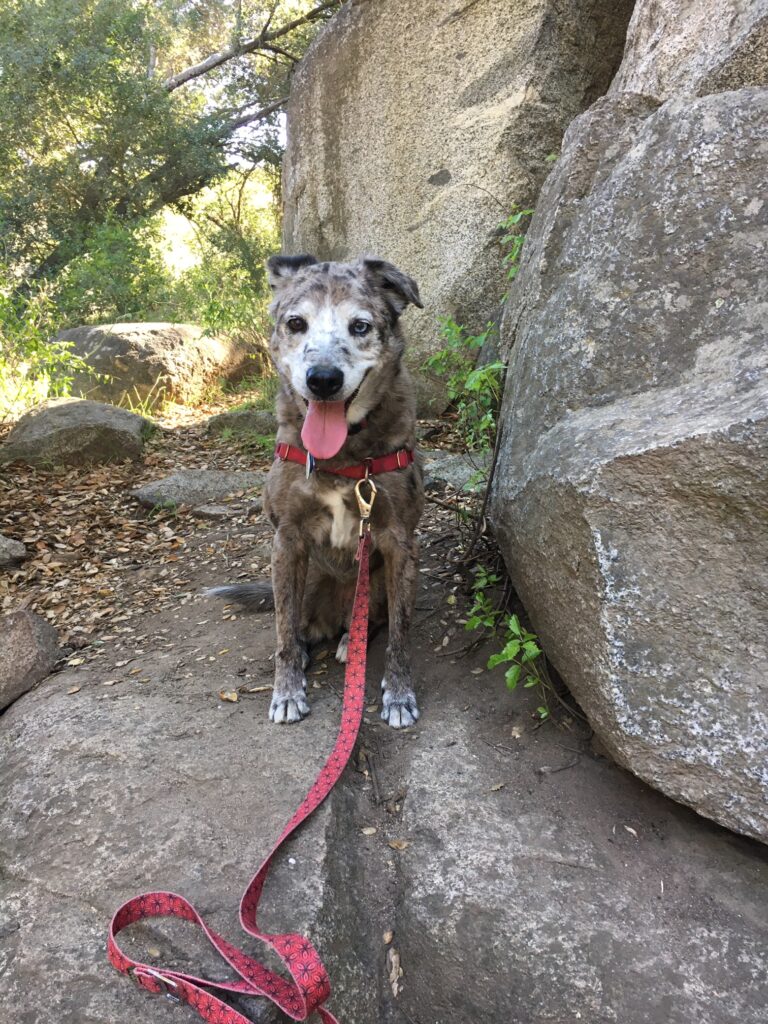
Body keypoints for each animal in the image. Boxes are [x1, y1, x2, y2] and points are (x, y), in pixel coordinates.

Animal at [210, 254, 428, 729]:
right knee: (294, 624)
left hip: (375, 582)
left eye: (360, 326)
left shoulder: (399, 543)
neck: (342, 456)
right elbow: (283, 632)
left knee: (371, 622)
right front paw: (287, 690)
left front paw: (399, 694)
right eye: (296, 323)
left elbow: (401, 632)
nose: (323, 379)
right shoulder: (287, 540)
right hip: (300, 575)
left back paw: (351, 641)